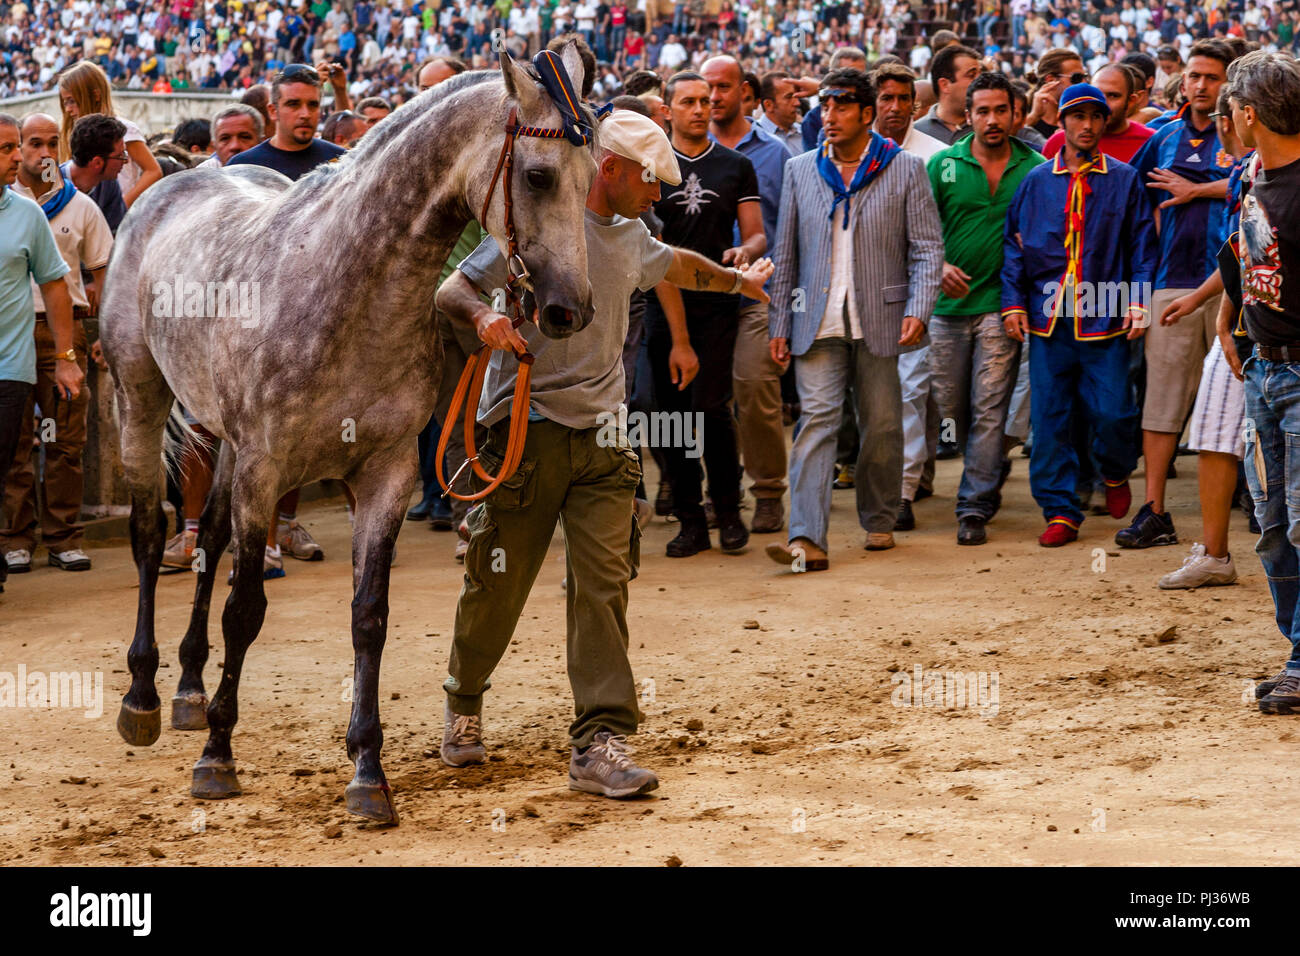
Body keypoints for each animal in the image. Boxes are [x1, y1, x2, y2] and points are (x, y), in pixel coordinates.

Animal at [100, 46, 598, 822]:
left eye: (595, 174)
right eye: (540, 175)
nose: (569, 310)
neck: (345, 286)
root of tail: (173, 180)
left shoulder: (386, 473)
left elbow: (369, 616)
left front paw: (367, 771)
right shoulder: (267, 470)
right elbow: (246, 610)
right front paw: (217, 757)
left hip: (229, 443)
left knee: (208, 540)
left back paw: (187, 689)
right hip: (141, 398)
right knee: (153, 536)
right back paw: (145, 696)